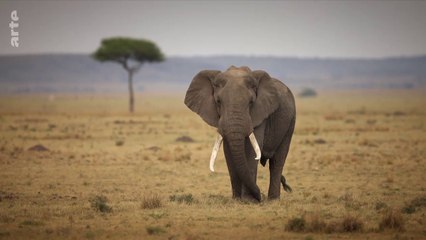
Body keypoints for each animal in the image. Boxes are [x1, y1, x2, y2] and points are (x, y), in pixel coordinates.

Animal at [183, 65, 296, 201]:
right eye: (218, 101)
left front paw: (249, 201)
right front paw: (237, 199)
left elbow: (251, 152)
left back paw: (273, 200)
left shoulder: (259, 114)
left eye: (251, 102)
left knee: (277, 161)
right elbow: (229, 153)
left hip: (290, 121)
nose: (260, 197)